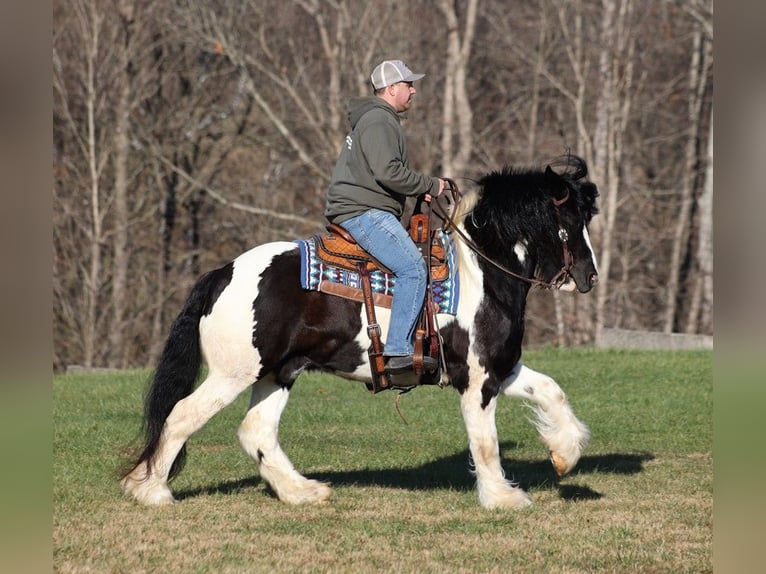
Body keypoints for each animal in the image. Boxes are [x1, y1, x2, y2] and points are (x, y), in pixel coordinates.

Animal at [121, 154, 600, 512]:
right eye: (569, 221)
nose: (589, 277)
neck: (480, 272)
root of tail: (222, 273)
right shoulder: (476, 379)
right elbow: (485, 442)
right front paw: (502, 497)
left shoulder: (499, 367)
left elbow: (551, 391)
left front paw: (565, 455)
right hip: (233, 373)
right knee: (181, 415)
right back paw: (152, 490)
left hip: (278, 372)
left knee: (256, 431)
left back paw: (303, 491)